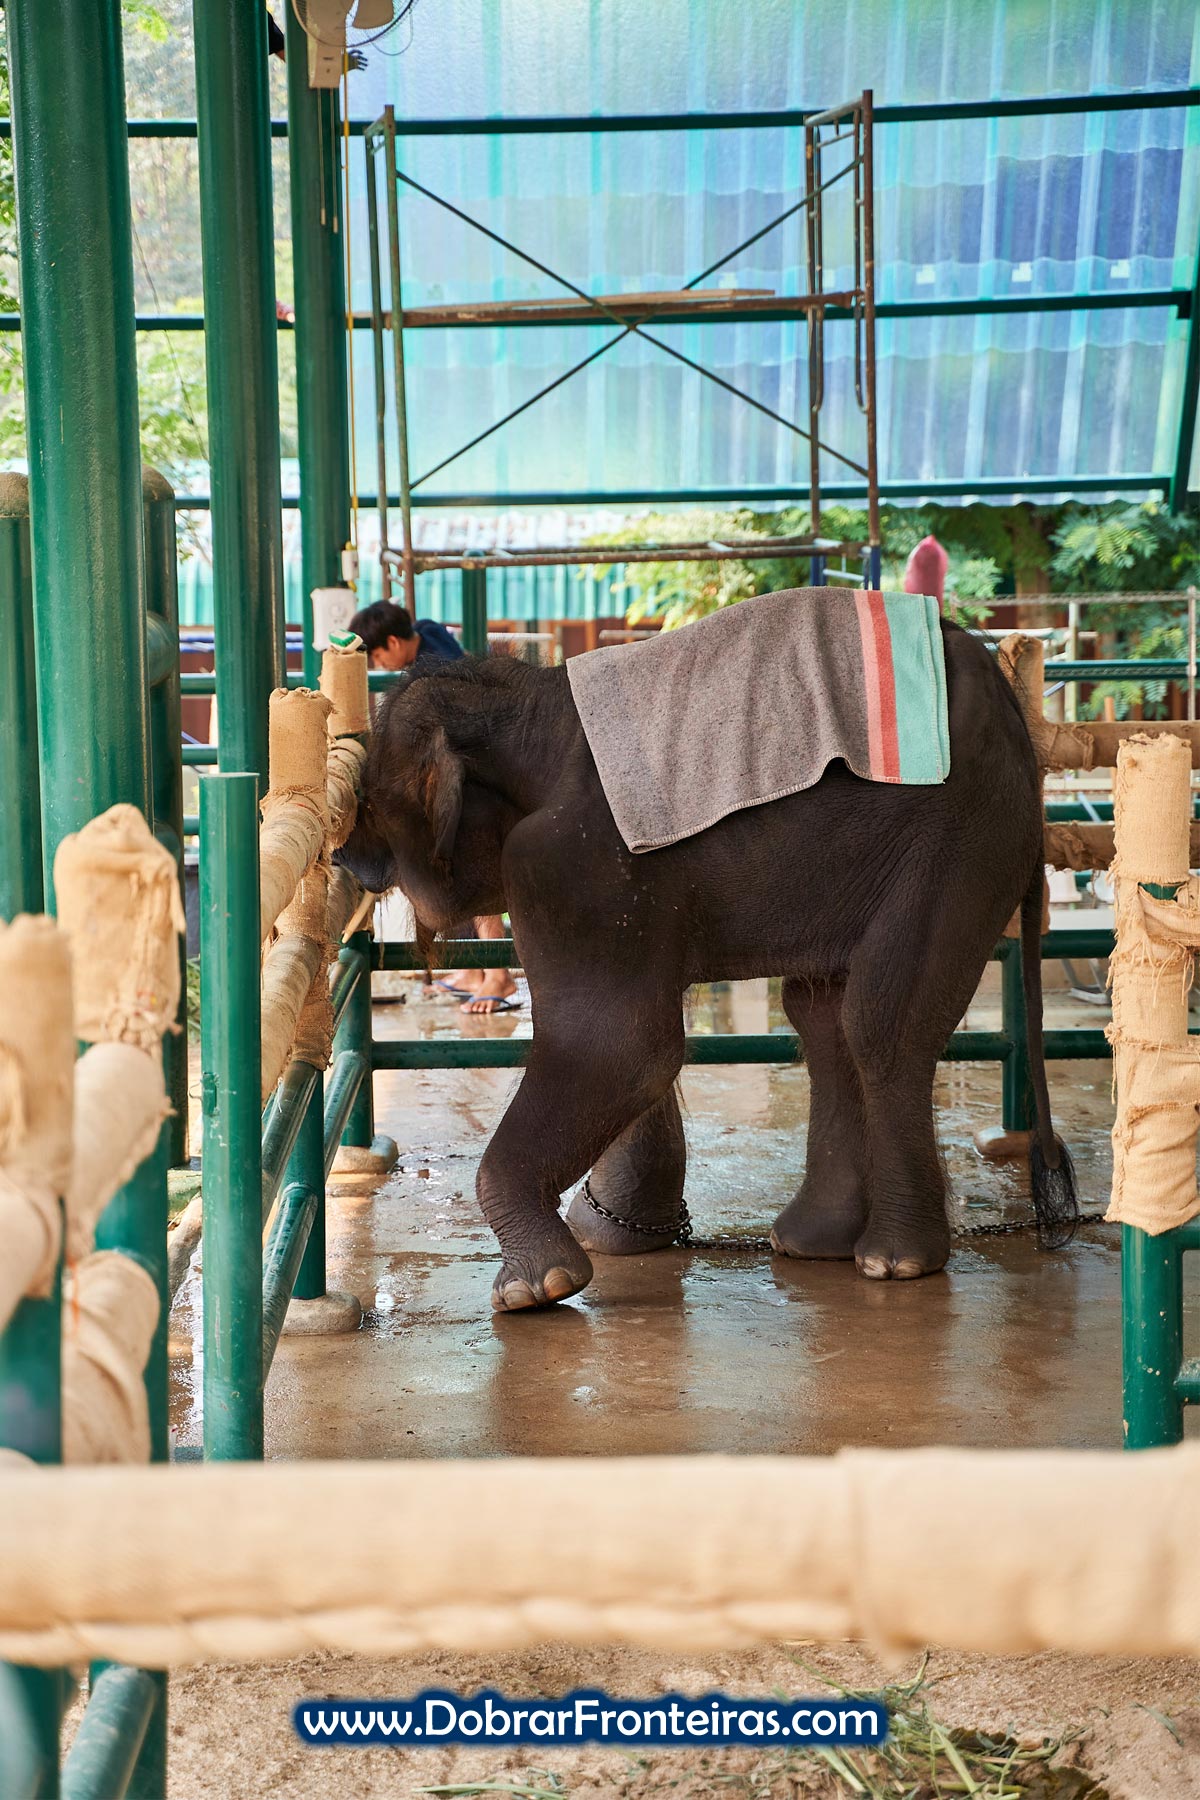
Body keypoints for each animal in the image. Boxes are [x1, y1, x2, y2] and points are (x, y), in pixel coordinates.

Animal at [336, 619, 1077, 1313]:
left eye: (371, 802)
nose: (345, 858)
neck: (531, 704)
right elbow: (635, 1047)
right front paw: (612, 1239)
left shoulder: (571, 863)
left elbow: (620, 1044)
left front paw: (536, 1290)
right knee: (822, 1015)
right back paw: (813, 1245)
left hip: (960, 835)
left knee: (879, 1022)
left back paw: (893, 1263)